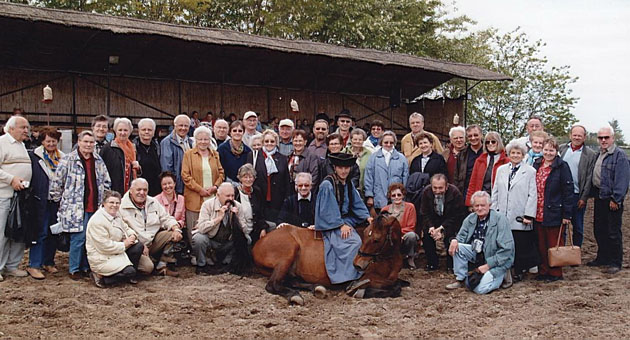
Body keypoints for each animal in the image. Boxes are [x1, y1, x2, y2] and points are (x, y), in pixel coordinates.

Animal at [252, 214, 404, 304]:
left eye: (376, 239)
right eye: (366, 233)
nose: (357, 265)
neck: (389, 258)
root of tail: (258, 242)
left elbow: (398, 283)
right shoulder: (369, 276)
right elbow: (394, 286)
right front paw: (359, 290)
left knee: (292, 281)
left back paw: (317, 288)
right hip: (287, 254)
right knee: (273, 284)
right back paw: (295, 296)